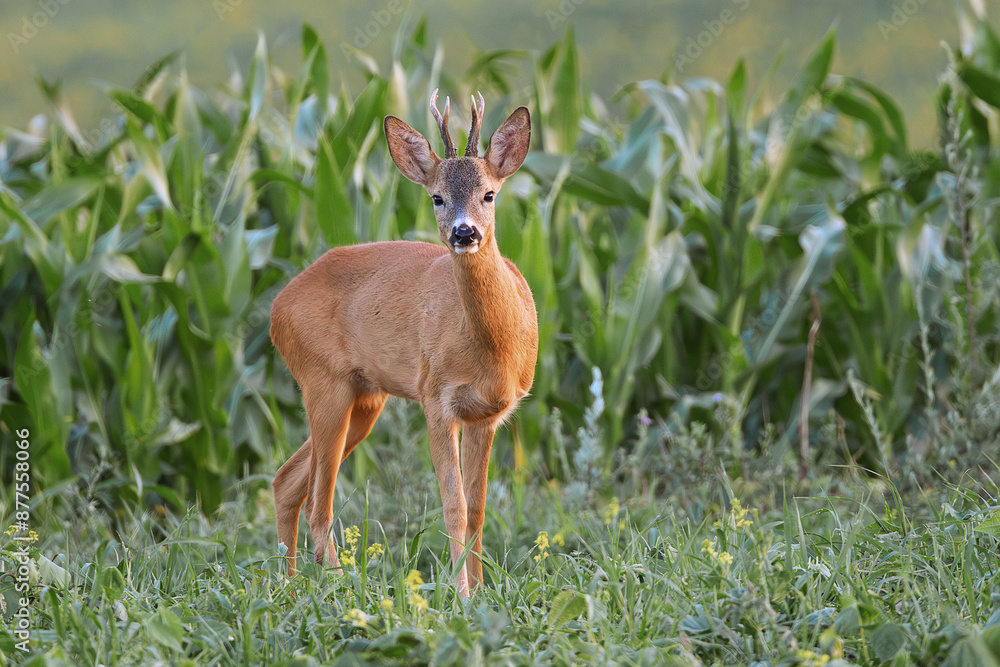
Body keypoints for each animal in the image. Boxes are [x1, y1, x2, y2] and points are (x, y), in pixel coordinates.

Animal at [269, 90, 538, 597]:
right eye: (437, 197)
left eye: (489, 193)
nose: (464, 232)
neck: (493, 349)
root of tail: (276, 308)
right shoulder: (436, 398)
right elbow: (453, 508)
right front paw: (462, 596)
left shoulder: (489, 413)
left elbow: (478, 510)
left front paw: (483, 593)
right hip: (323, 382)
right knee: (318, 501)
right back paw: (340, 588)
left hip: (364, 399)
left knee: (285, 480)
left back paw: (288, 585)